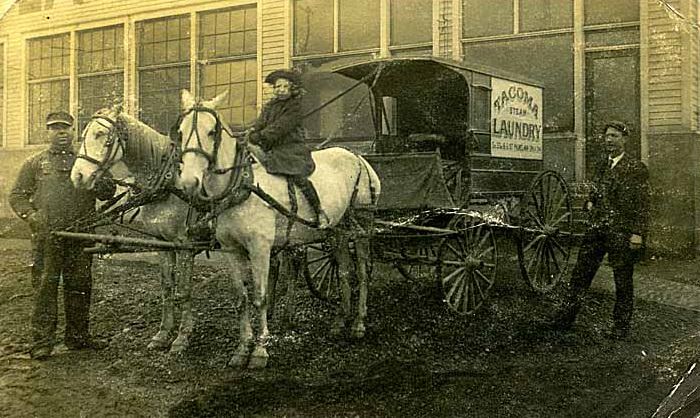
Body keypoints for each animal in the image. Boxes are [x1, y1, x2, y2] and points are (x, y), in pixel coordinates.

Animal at [71, 106, 201, 354]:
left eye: (100, 134)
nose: (77, 176)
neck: (169, 183)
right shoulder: (161, 242)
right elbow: (167, 288)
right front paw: (162, 334)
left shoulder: (184, 244)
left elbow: (184, 289)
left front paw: (182, 337)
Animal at [176, 89, 382, 370]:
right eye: (180, 132)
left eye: (211, 132)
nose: (189, 182)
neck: (242, 185)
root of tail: (359, 158)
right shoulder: (231, 250)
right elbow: (241, 298)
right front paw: (242, 348)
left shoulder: (260, 248)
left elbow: (260, 297)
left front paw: (260, 351)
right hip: (338, 231)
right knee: (343, 272)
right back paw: (340, 321)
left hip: (361, 224)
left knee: (361, 272)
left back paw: (359, 323)